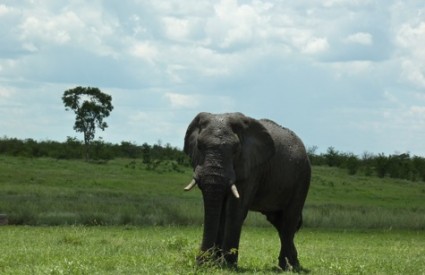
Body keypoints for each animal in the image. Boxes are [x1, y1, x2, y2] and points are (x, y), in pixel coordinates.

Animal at [183, 112, 312, 272]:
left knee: (289, 219)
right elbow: (221, 213)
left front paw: (227, 266)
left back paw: (288, 268)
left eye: (235, 150)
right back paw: (292, 265)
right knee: (279, 222)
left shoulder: (252, 167)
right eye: (199, 146)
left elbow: (235, 211)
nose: (200, 263)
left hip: (303, 176)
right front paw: (216, 264)